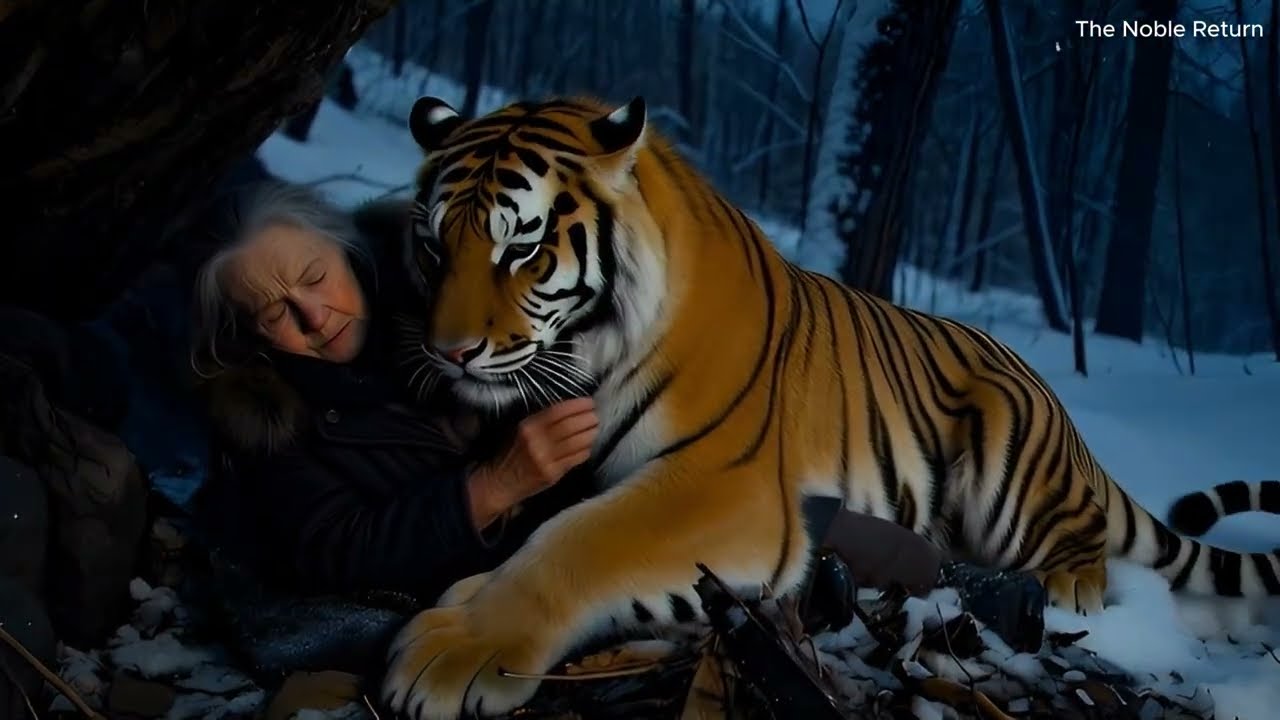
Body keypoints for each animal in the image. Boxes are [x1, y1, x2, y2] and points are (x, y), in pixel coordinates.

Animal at [380, 94, 1280, 720]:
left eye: (522, 246)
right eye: (431, 245)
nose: (448, 353)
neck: (589, 353)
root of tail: (1060, 410)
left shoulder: (727, 484)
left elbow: (581, 542)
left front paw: (452, 651)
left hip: (1010, 461)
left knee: (1084, 536)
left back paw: (1070, 587)